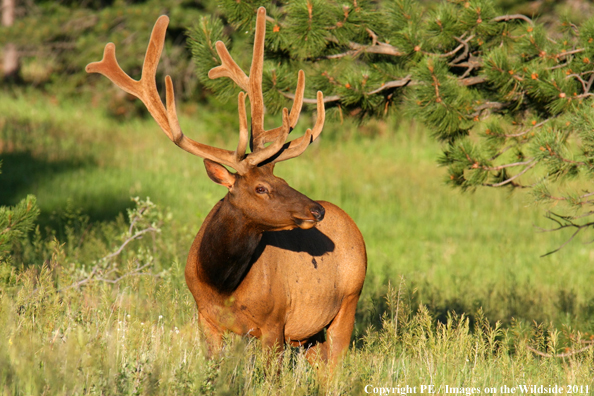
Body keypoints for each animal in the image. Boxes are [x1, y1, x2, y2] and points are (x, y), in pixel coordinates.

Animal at [86, 7, 366, 370]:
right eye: (262, 188)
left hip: (348, 301)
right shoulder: (205, 318)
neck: (222, 284)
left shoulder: (275, 322)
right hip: (312, 333)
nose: (316, 210)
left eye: (282, 181)